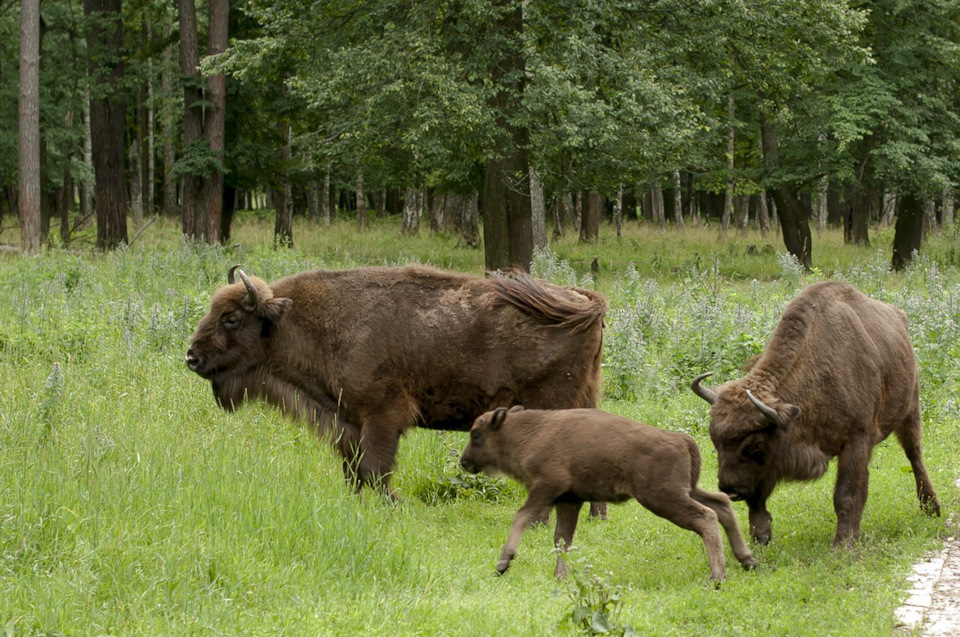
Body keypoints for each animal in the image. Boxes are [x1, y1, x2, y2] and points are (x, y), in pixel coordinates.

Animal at [186, 260, 608, 500]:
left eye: (230, 318)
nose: (192, 357)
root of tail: (585, 301)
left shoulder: (383, 417)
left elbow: (375, 469)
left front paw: (394, 505)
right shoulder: (348, 421)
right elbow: (354, 470)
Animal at [458, 404, 756, 580]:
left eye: (476, 435)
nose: (464, 462)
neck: (530, 433)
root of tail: (683, 439)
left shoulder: (546, 489)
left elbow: (522, 517)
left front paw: (503, 563)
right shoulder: (569, 500)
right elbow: (562, 539)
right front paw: (560, 576)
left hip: (663, 498)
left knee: (706, 516)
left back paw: (718, 576)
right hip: (686, 490)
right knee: (721, 504)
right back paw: (747, 560)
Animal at [692, 282, 940, 548]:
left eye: (756, 445)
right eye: (714, 440)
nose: (730, 489)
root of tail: (899, 317)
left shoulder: (857, 439)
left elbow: (846, 495)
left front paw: (843, 544)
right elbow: (757, 497)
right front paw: (761, 537)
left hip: (910, 410)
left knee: (914, 455)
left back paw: (932, 508)